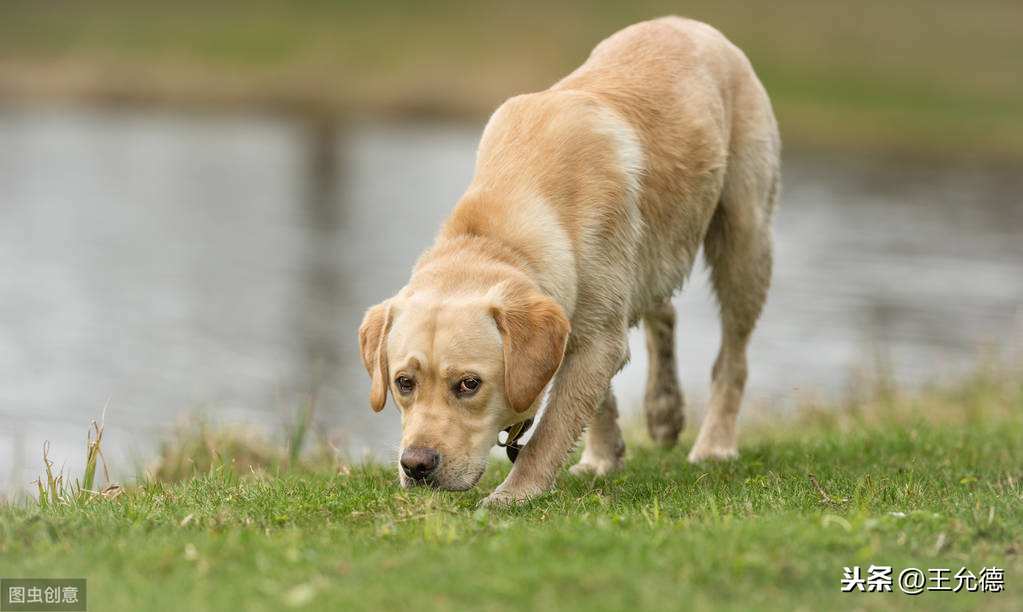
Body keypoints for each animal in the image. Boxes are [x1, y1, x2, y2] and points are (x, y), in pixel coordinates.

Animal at [356, 16, 777, 505]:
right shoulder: (584, 324)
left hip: (744, 239)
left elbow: (552, 428)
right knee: (662, 310)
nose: (416, 465)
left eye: (469, 384)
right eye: (404, 382)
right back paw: (663, 411)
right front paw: (603, 456)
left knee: (732, 357)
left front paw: (515, 494)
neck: (499, 229)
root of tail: (688, 21)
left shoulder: (597, 339)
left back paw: (714, 445)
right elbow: (596, 401)